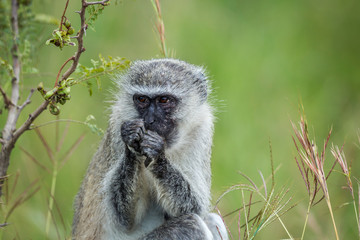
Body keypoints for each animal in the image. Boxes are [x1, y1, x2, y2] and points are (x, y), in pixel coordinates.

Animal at [73, 58, 228, 240]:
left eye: (164, 100)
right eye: (142, 99)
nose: (149, 120)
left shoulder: (202, 129)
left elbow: (196, 206)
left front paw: (156, 155)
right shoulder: (118, 123)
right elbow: (125, 219)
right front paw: (132, 141)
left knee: (210, 219)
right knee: (192, 224)